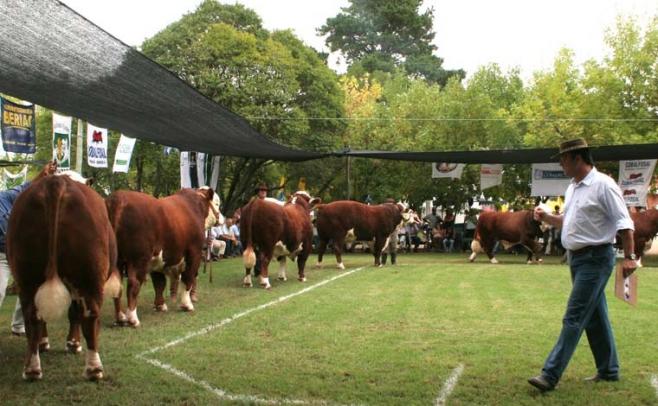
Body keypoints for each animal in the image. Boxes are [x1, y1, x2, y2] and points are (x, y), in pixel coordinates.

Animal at [7, 172, 121, 380]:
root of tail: (56, 182)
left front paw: (45, 343)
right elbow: (74, 312)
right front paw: (73, 343)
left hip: (26, 275)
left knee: (32, 314)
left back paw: (32, 368)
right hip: (90, 276)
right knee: (90, 315)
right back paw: (94, 368)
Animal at [105, 187, 218, 326]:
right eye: (217, 203)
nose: (222, 217)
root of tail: (118, 198)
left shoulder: (157, 261)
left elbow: (159, 283)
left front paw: (160, 306)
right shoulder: (194, 254)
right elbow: (188, 279)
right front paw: (187, 305)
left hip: (118, 262)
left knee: (118, 287)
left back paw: (120, 317)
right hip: (139, 259)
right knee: (133, 284)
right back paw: (133, 319)